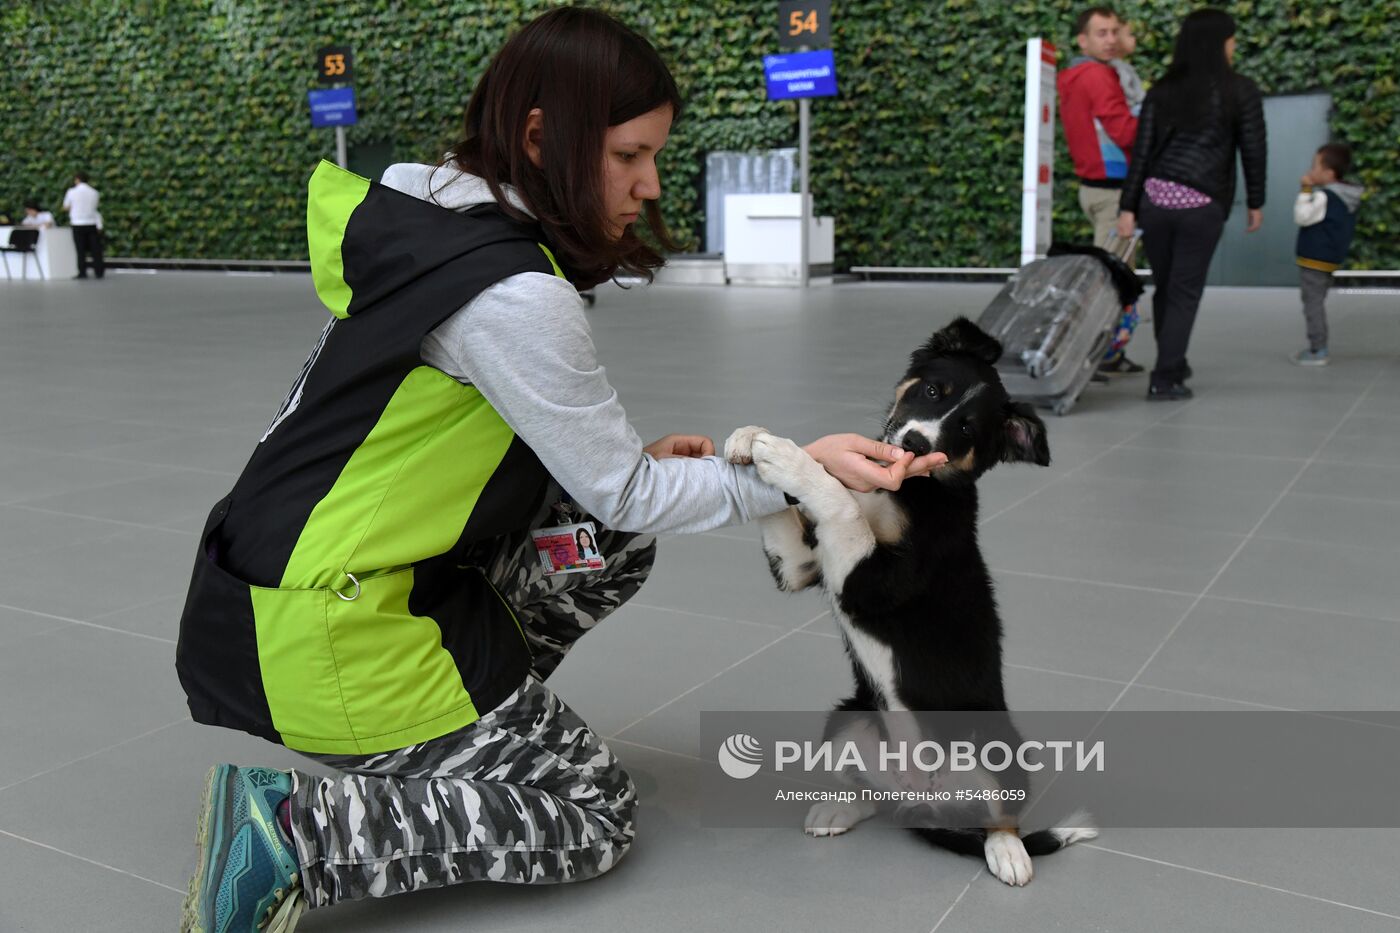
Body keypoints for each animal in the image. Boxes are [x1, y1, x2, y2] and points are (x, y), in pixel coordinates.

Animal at [728, 316, 1097, 885]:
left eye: (966, 430)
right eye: (932, 391)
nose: (917, 442)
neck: (907, 488)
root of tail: (922, 799)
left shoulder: (874, 582)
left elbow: (838, 501)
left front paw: (791, 458)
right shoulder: (803, 565)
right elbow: (796, 512)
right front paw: (752, 437)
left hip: (994, 746)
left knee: (1002, 815)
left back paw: (1009, 853)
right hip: (848, 719)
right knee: (873, 796)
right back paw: (838, 810)